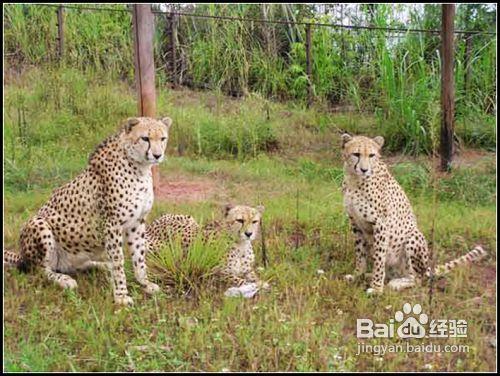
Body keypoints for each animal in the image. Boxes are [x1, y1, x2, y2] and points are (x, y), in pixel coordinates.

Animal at [3, 117, 174, 306]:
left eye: (163, 138)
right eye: (145, 138)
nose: (157, 155)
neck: (139, 167)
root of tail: (21, 255)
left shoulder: (137, 222)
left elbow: (139, 257)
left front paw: (145, 283)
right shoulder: (112, 224)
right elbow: (118, 261)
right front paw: (121, 295)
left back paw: (101, 265)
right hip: (39, 223)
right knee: (39, 269)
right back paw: (63, 280)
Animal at [342, 134, 486, 296]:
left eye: (372, 155)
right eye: (356, 154)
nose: (364, 169)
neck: (354, 180)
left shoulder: (380, 224)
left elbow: (379, 259)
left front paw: (377, 288)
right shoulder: (355, 222)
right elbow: (360, 254)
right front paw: (357, 275)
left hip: (412, 237)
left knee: (417, 278)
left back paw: (396, 283)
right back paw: (369, 275)